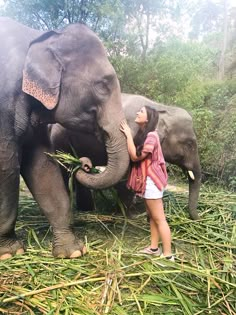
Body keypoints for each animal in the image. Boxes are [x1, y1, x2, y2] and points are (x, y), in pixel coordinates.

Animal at [0, 17, 129, 260]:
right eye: (102, 85)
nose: (84, 164)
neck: (40, 36)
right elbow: (6, 165)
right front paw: (9, 252)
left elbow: (42, 166)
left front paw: (73, 253)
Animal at [49, 93, 201, 220]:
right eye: (189, 144)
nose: (198, 216)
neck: (161, 108)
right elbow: (125, 175)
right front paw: (128, 215)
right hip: (59, 141)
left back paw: (87, 209)